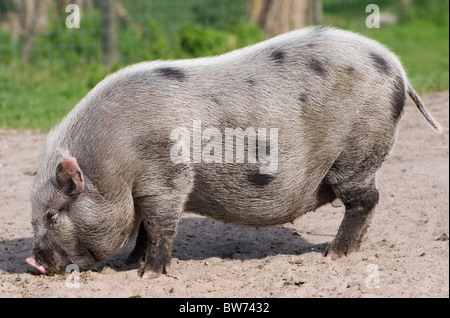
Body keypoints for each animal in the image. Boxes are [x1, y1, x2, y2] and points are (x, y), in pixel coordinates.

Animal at [25, 26, 442, 278]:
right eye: (34, 219)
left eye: (53, 214)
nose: (33, 261)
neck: (113, 167)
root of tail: (398, 70)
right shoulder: (145, 192)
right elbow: (143, 226)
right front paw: (131, 263)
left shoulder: (166, 180)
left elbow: (160, 226)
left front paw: (149, 274)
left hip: (356, 155)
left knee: (366, 200)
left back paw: (334, 255)